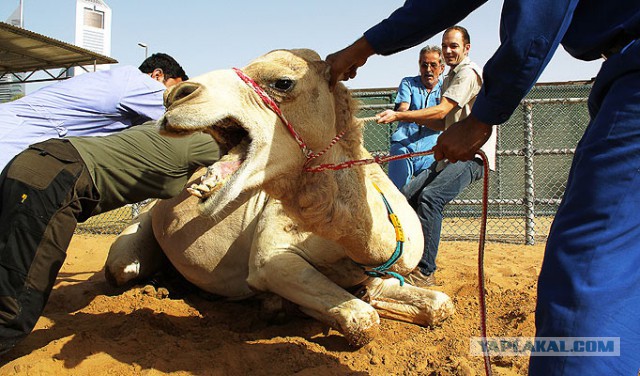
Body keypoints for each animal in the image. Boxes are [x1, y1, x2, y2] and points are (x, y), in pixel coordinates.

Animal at [105, 49, 456, 346]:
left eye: (282, 82)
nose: (175, 95)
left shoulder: (379, 275)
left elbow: (441, 305)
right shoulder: (271, 259)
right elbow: (364, 321)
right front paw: (280, 306)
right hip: (134, 242)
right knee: (122, 268)